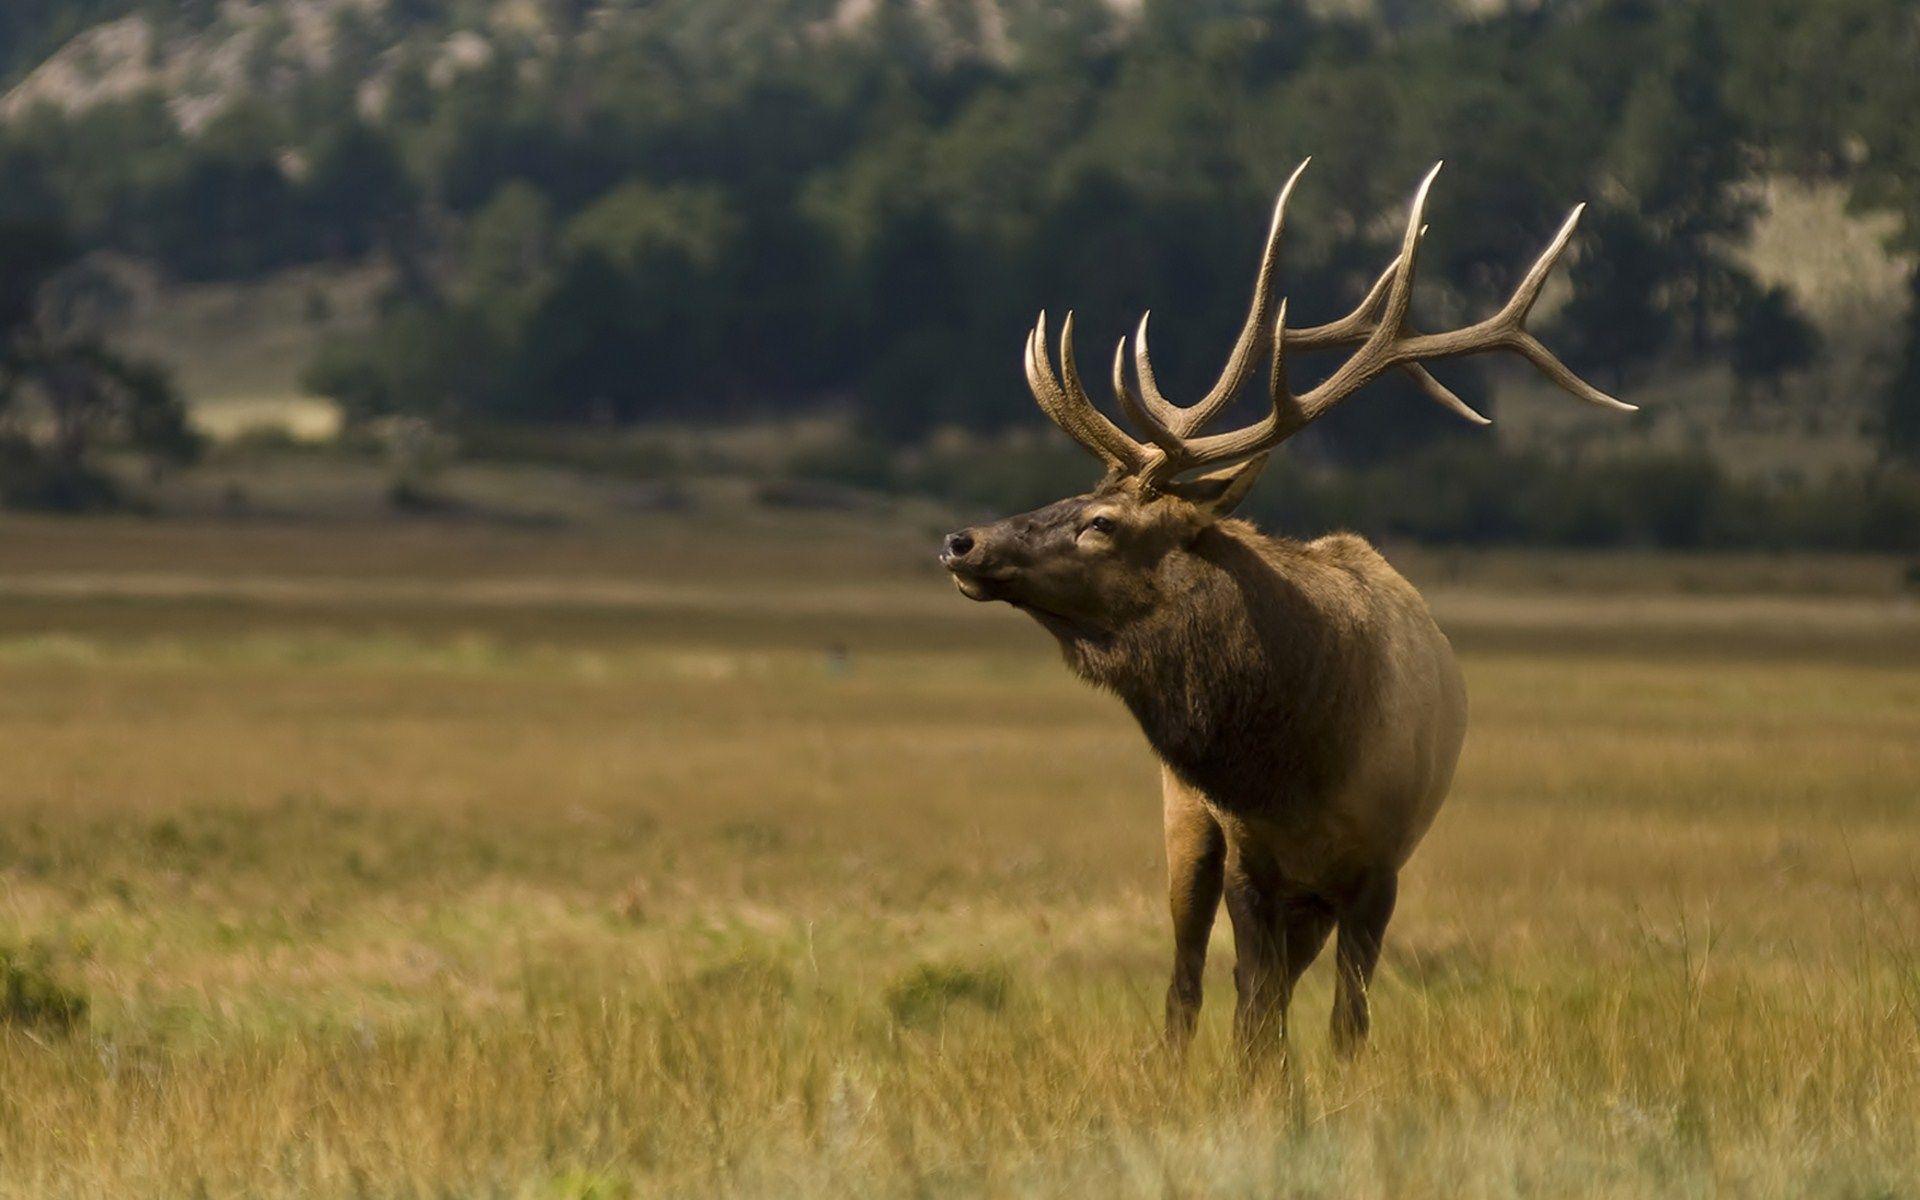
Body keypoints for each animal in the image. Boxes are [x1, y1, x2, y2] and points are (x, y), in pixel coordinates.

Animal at [939, 161, 1633, 1061]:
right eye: (1076, 496)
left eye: (1102, 522)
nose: (962, 541)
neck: (1297, 764)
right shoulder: (1248, 859)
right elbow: (1254, 1019)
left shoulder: (1379, 870)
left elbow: (1344, 1024)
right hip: (1185, 824)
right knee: (1187, 986)